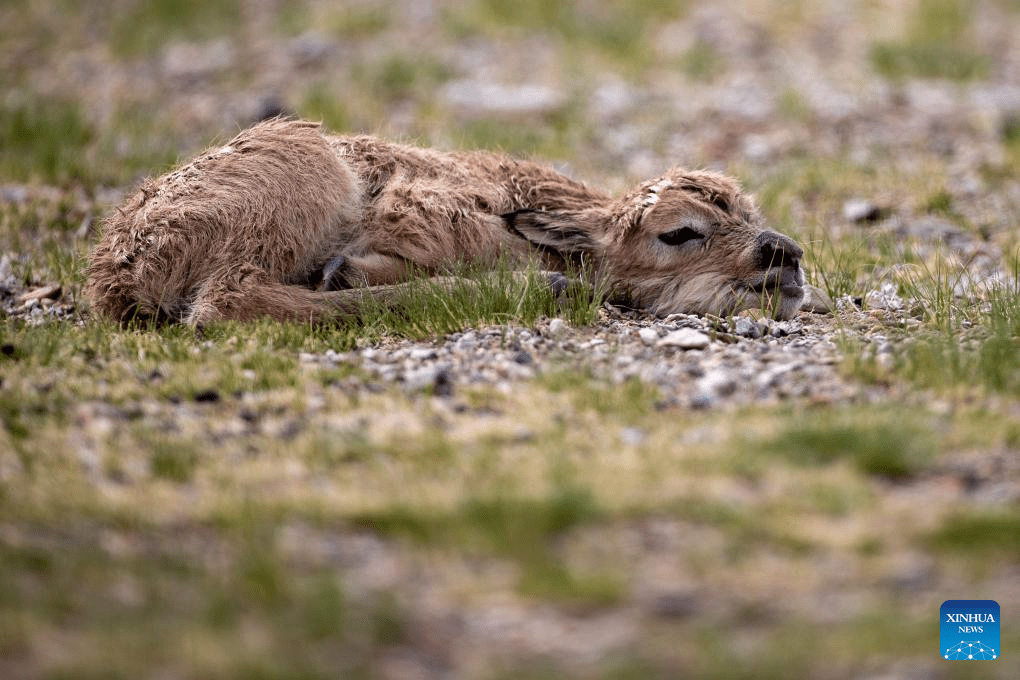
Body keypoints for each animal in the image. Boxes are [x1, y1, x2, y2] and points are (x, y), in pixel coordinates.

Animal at [87, 117, 803, 324]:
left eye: (750, 212)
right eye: (679, 233)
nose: (785, 254)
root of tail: (117, 272)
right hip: (305, 183)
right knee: (226, 300)